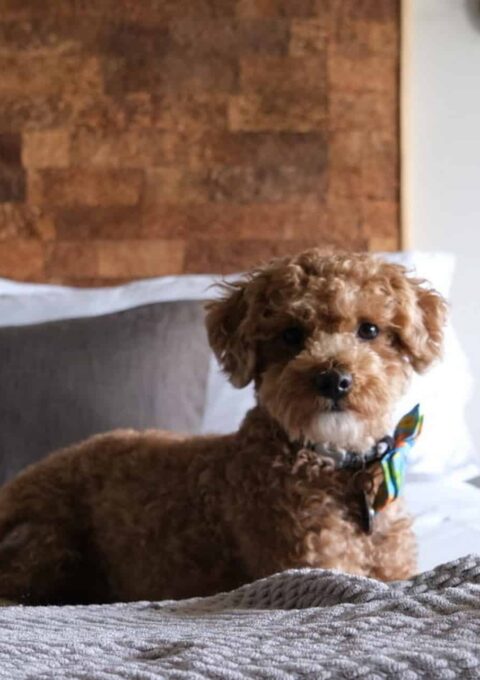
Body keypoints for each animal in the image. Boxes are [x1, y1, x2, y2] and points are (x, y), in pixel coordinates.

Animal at [0, 252, 446, 604]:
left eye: (369, 329)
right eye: (291, 334)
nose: (333, 379)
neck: (334, 464)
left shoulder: (396, 569)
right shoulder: (309, 561)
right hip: (48, 540)